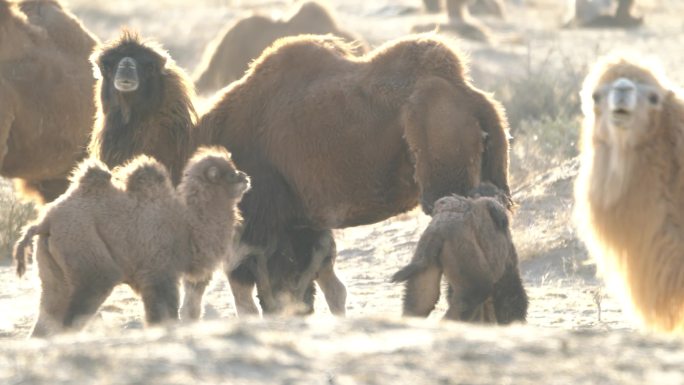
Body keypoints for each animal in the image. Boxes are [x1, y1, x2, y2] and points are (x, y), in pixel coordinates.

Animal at [14, 148, 248, 336]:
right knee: (74, 313)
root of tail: (44, 222)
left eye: (235, 169)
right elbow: (162, 313)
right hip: (89, 260)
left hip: (53, 270)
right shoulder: (158, 272)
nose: (245, 177)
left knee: (49, 314)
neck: (186, 227)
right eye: (230, 174)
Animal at [188, 33, 512, 316]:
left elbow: (259, 288)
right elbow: (307, 288)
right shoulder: (300, 222)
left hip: (442, 165)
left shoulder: (260, 217)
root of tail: (478, 102)